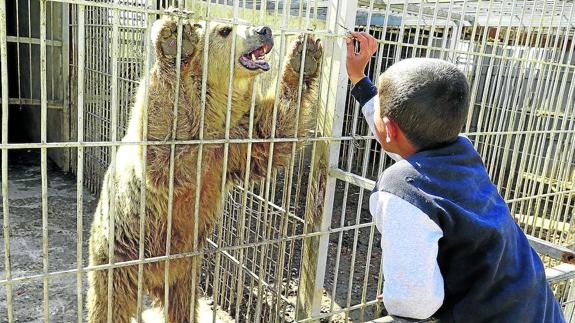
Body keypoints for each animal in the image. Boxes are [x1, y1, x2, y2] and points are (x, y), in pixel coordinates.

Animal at [88, 13, 326, 322]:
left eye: (247, 21)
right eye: (225, 30)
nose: (264, 30)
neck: (213, 117)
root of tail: (151, 280)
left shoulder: (233, 143)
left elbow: (276, 131)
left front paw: (304, 55)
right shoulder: (186, 148)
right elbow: (161, 144)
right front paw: (175, 41)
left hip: (185, 272)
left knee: (183, 305)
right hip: (117, 258)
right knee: (108, 304)